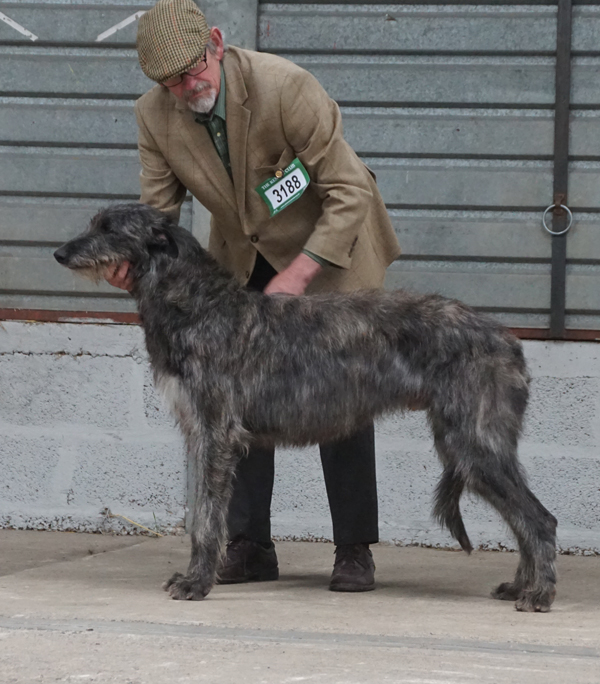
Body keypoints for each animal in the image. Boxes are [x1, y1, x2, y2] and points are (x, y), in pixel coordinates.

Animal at [54, 202, 556, 608]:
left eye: (109, 228)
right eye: (93, 223)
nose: (59, 254)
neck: (200, 307)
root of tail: (508, 340)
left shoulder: (216, 433)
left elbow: (207, 518)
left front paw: (197, 583)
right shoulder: (201, 433)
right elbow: (205, 513)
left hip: (473, 442)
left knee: (540, 519)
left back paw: (540, 595)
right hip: (469, 444)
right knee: (524, 518)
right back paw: (520, 586)